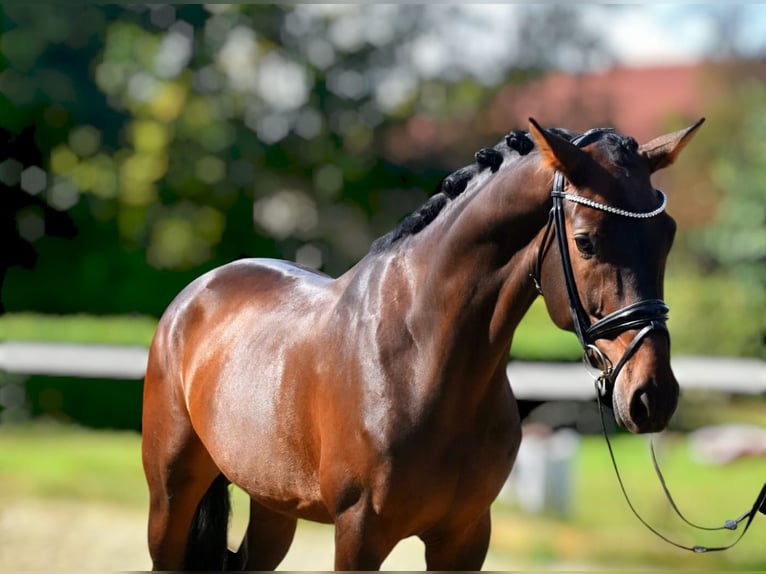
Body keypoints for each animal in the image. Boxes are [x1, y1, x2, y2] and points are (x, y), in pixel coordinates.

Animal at [141, 118, 704, 572]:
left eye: (667, 235)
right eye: (586, 241)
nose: (652, 395)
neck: (422, 363)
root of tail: (197, 292)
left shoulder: (465, 537)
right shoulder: (359, 537)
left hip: (273, 505)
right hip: (170, 498)